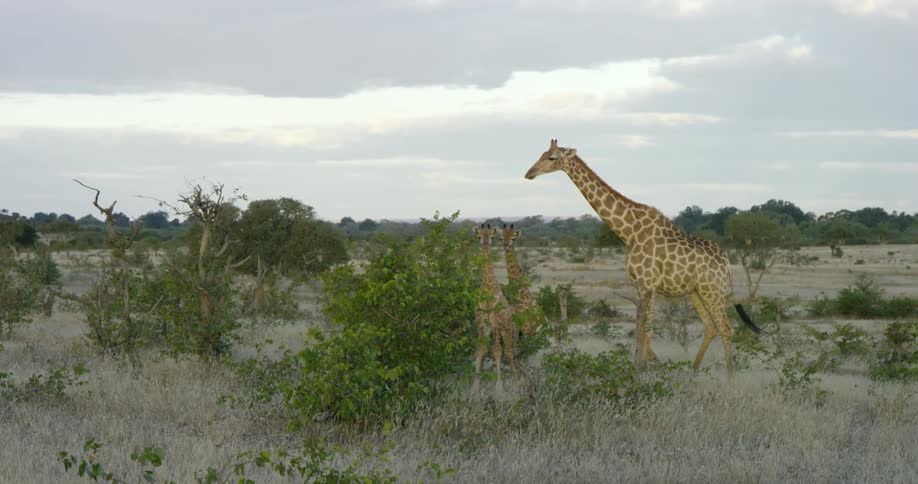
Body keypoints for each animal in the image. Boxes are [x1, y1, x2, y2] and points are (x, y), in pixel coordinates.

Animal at [472, 223, 521, 393]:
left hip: (507, 329)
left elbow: (497, 350)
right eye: (479, 236)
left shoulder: (497, 322)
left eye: (492, 236)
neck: (487, 289)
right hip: (490, 329)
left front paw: (499, 387)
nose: (486, 243)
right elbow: (481, 349)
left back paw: (516, 381)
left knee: (509, 351)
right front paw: (475, 386)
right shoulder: (481, 322)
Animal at [524, 139, 761, 382]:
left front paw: (643, 373)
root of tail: (726, 264)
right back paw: (692, 375)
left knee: (726, 328)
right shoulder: (640, 286)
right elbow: (642, 331)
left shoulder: (649, 284)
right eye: (541, 153)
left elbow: (646, 330)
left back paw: (730, 382)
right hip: (696, 292)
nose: (529, 173)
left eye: (552, 157)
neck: (630, 231)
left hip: (712, 290)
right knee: (711, 327)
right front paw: (644, 369)